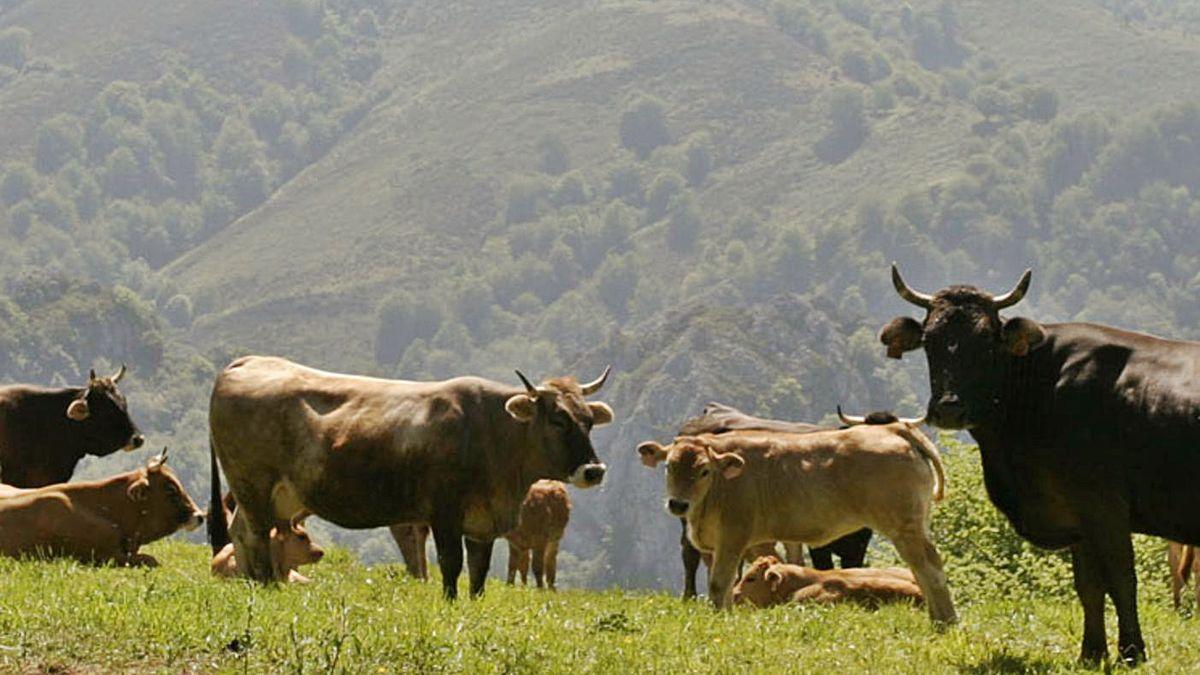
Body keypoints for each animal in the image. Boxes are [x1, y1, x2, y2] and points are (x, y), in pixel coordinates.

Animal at [207, 355, 614, 595]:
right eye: (558, 419)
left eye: (589, 420)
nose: (594, 470)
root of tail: (247, 362)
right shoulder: (445, 513)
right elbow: (451, 565)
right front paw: (450, 605)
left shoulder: (482, 522)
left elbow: (479, 572)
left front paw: (473, 603)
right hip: (252, 483)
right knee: (257, 533)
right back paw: (264, 585)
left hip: (276, 493)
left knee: (241, 530)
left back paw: (253, 582)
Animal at [883, 264, 1200, 662]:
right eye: (930, 341)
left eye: (987, 342)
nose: (949, 408)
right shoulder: (1077, 514)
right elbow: (1089, 586)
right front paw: (1091, 654)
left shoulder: (1104, 506)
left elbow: (1122, 580)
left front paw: (1132, 653)